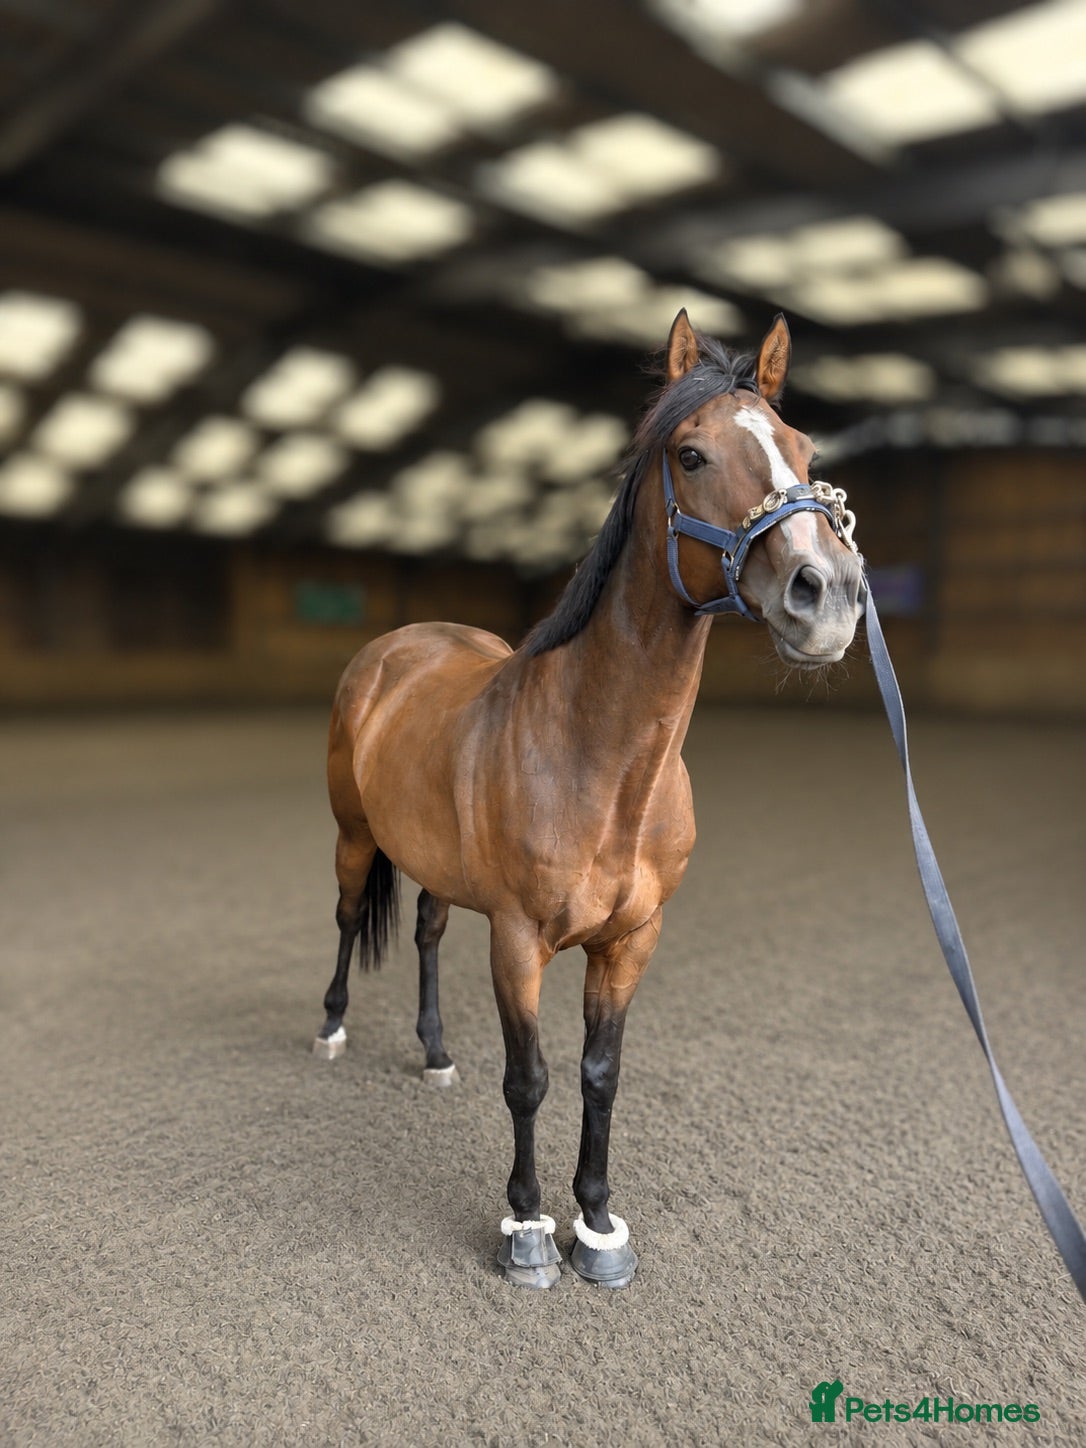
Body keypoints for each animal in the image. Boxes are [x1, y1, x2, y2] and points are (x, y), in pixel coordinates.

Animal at [314, 310, 865, 1288]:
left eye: (804, 449)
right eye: (691, 454)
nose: (827, 593)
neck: (598, 763)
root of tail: (397, 646)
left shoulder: (632, 940)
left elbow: (599, 1074)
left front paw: (600, 1229)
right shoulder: (519, 940)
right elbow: (528, 1078)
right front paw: (528, 1230)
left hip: (434, 864)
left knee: (425, 932)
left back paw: (435, 1053)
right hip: (352, 836)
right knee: (347, 918)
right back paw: (333, 1031)